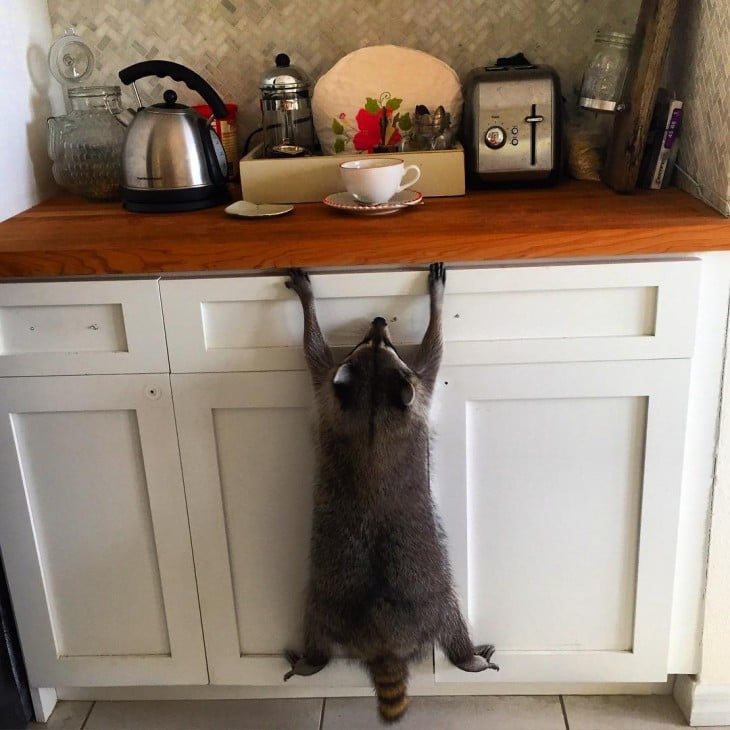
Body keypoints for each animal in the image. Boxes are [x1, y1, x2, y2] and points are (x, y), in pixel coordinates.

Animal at [282, 264, 498, 724]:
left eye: (383, 341)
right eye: (371, 342)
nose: (380, 320)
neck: (372, 401)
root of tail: (383, 640)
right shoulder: (339, 385)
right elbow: (431, 350)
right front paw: (436, 304)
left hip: (330, 602)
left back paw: (312, 659)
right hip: (429, 599)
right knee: (452, 624)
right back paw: (466, 657)